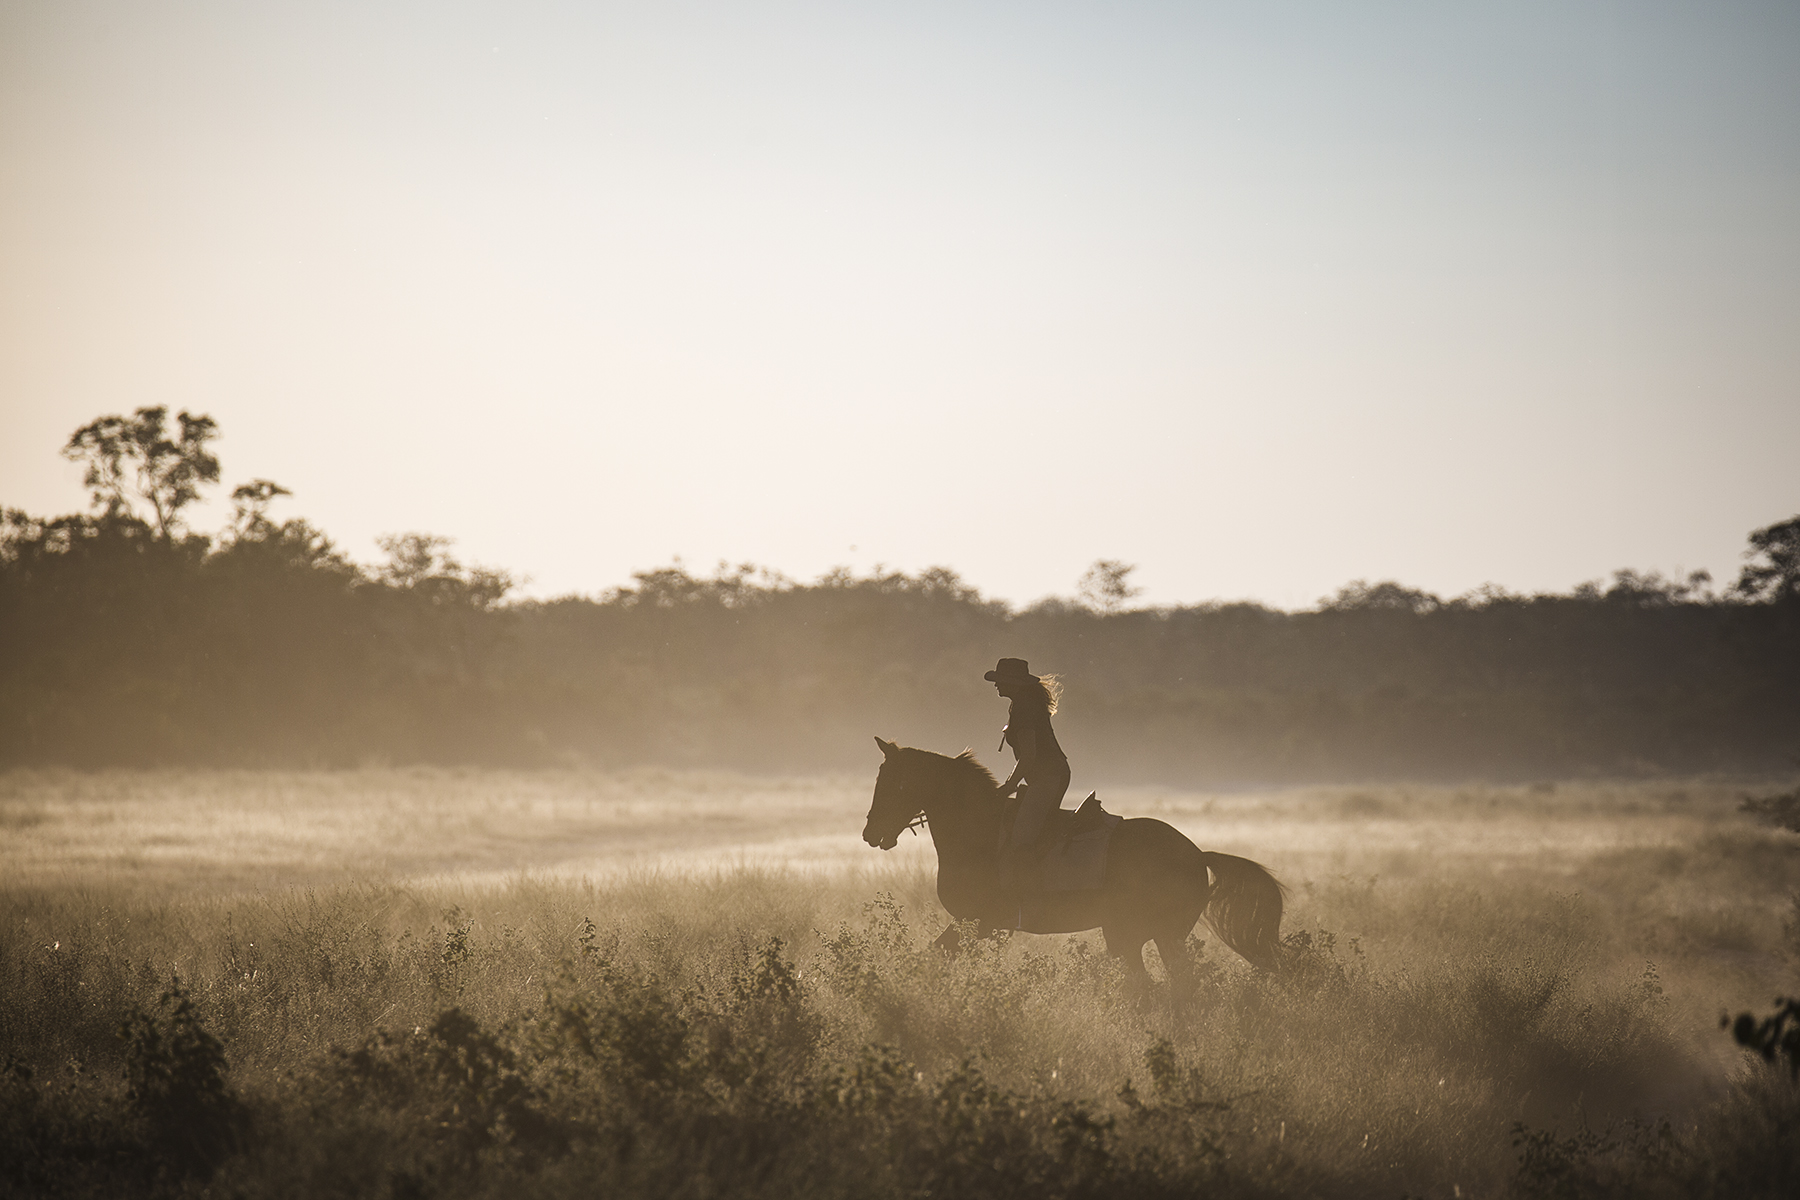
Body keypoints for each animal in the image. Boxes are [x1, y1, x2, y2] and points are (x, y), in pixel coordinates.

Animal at [861, 737, 1284, 996]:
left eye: (893, 782)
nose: (870, 832)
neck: (977, 831)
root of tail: (1198, 855)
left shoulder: (978, 922)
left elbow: (930, 957)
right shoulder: (978, 928)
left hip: (1143, 935)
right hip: (1140, 937)